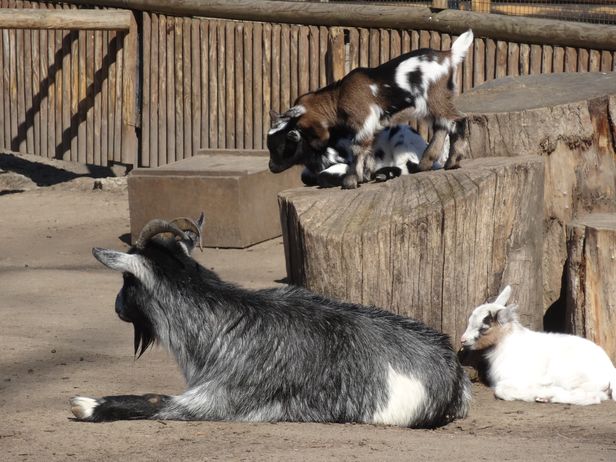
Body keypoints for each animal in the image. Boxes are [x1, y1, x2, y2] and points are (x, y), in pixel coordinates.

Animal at [74, 216, 474, 426]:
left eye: (127, 281)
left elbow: (156, 401)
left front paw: (88, 404)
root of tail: (454, 374)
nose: (117, 307)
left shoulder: (222, 398)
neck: (223, 322)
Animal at [462, 286, 616, 404]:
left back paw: (545, 396)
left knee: (591, 396)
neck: (508, 342)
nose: (462, 340)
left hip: (571, 375)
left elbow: (501, 390)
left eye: (484, 328)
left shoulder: (519, 377)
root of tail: (610, 372)